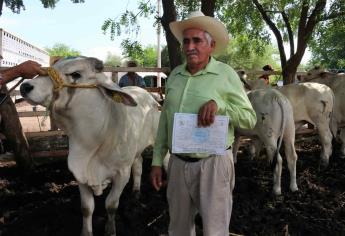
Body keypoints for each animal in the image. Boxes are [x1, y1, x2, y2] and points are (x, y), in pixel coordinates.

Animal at [19, 57, 162, 236]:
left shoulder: (121, 174)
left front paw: (110, 230)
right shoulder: (79, 175)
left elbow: (111, 205)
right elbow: (87, 208)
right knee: (138, 165)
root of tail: (150, 96)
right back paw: (136, 192)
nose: (25, 86)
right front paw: (86, 232)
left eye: (75, 74)